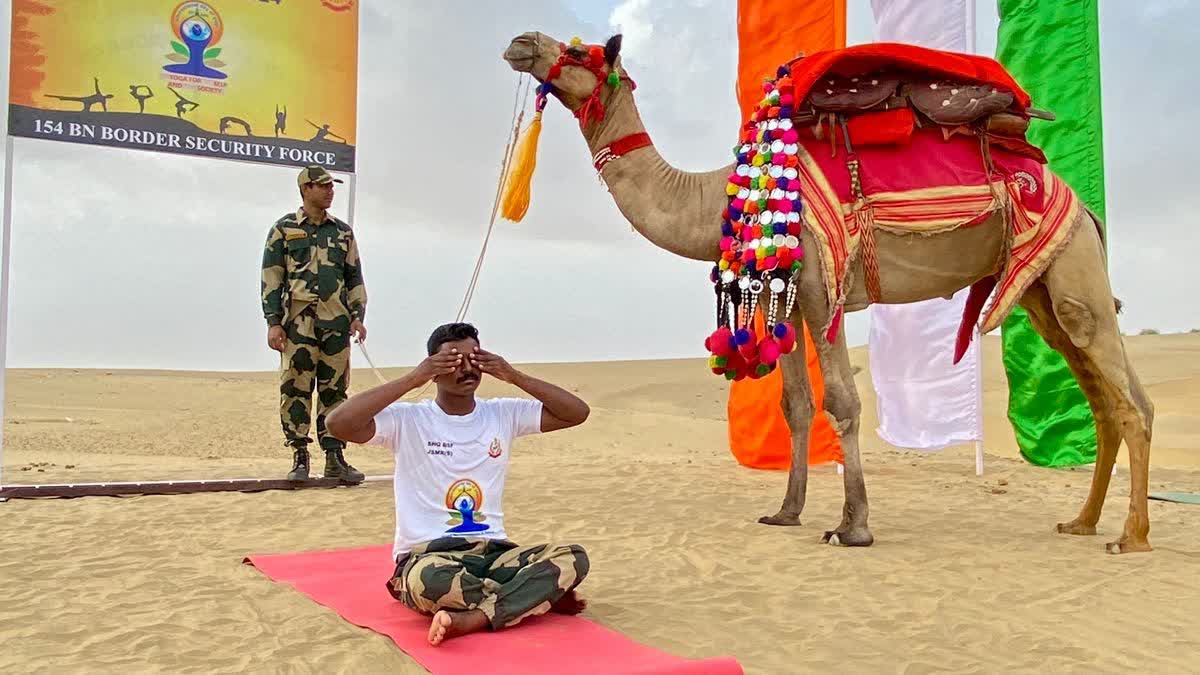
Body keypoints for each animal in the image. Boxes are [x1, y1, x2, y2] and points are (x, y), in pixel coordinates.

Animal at [499, 31, 1152, 552]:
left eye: (578, 51)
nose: (521, 42)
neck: (718, 198)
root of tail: (1083, 208)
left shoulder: (819, 287)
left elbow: (841, 401)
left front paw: (853, 525)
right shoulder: (783, 295)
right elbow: (795, 405)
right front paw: (786, 512)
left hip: (1073, 269)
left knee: (1126, 398)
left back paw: (1131, 537)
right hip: (1044, 287)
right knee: (1109, 399)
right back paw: (1083, 522)